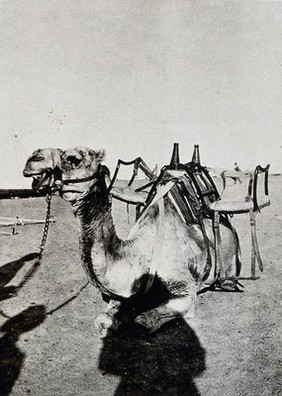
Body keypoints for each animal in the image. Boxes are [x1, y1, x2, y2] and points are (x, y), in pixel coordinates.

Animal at [23, 148, 241, 334]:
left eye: (74, 158)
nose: (34, 158)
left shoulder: (185, 290)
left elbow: (142, 321)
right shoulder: (123, 290)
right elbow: (104, 317)